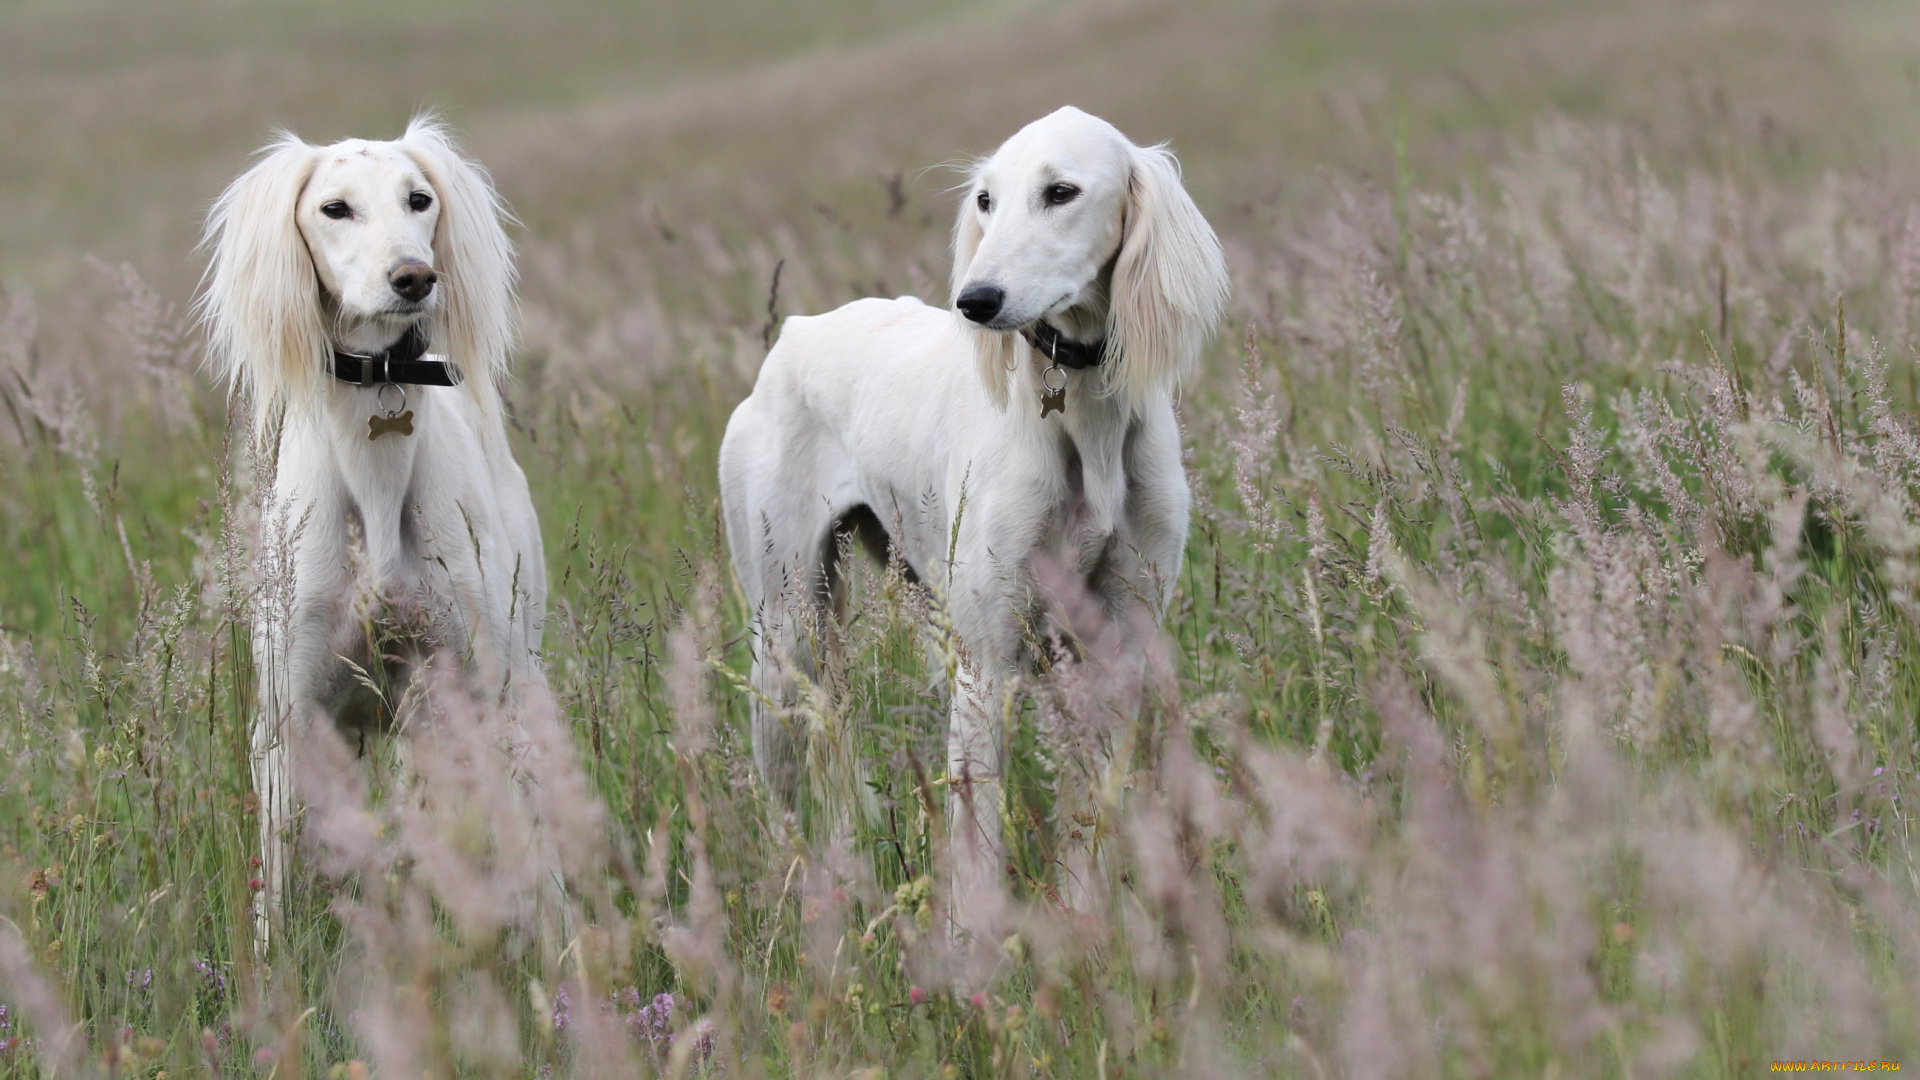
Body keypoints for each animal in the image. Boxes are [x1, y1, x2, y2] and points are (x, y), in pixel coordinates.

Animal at [199, 117, 545, 941]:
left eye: (419, 199)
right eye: (335, 208)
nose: (414, 277)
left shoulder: (477, 685)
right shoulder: (290, 721)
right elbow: (279, 897)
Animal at [721, 107, 1228, 914]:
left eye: (1061, 191)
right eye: (986, 199)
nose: (976, 300)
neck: (1084, 418)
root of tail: (794, 333)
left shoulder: (1115, 647)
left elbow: (1089, 821)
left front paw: (1090, 922)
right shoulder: (987, 668)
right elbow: (977, 840)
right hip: (786, 632)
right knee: (785, 799)